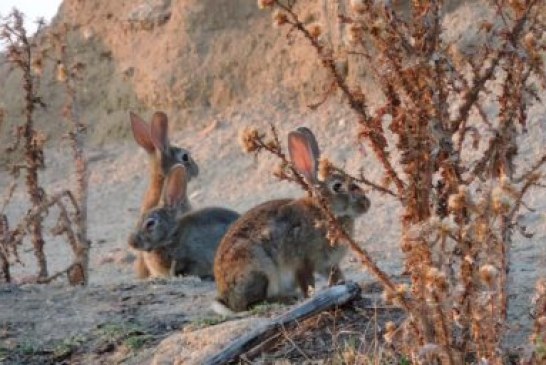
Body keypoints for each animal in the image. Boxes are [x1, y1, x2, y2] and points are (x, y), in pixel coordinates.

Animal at [210, 126, 368, 312]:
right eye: (337, 186)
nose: (366, 204)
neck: (322, 211)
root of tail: (226, 299)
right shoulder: (303, 261)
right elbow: (307, 283)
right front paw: (309, 297)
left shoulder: (328, 264)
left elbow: (337, 276)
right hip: (258, 268)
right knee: (253, 303)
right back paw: (288, 299)